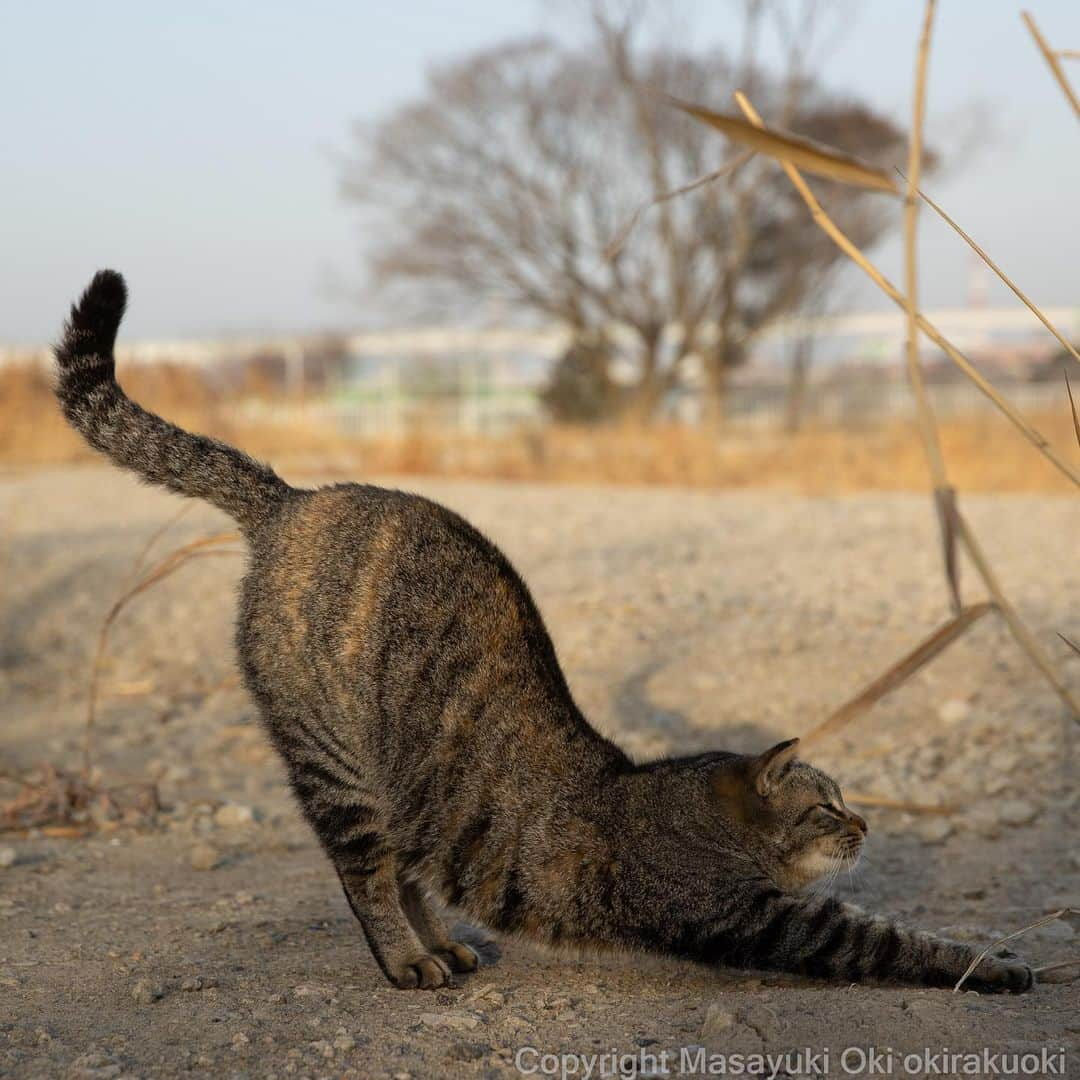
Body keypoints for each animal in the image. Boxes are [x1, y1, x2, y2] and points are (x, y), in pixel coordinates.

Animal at [54, 272, 1032, 993]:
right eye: (827, 805)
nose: (865, 822)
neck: (682, 803)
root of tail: (295, 497)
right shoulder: (759, 917)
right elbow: (891, 938)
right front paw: (993, 964)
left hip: (406, 785)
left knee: (405, 869)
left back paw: (440, 943)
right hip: (337, 767)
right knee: (366, 874)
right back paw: (407, 960)